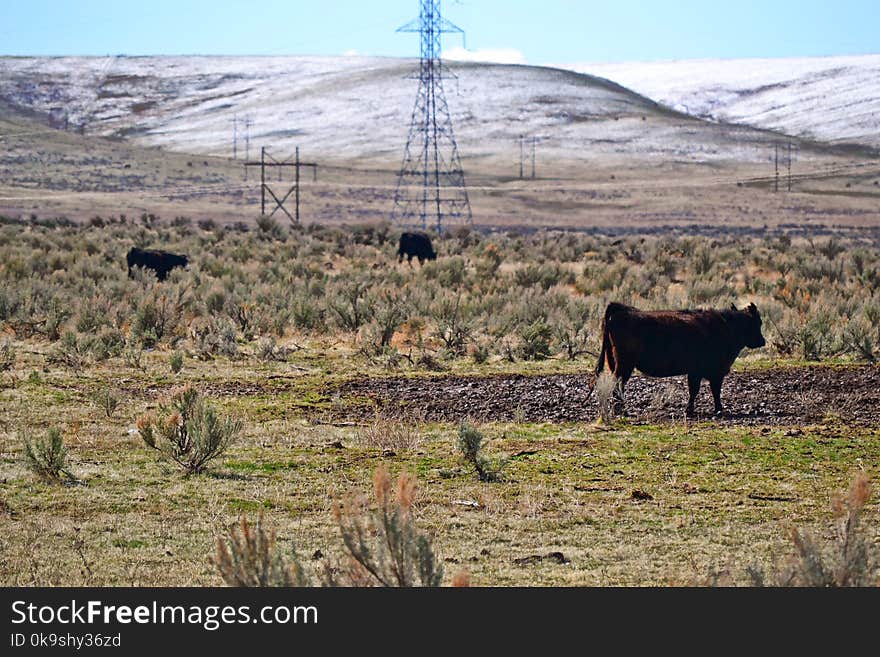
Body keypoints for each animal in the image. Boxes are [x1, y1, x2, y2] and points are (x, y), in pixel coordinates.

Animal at [600, 302, 764, 416]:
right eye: (757, 322)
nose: (762, 341)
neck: (726, 326)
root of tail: (620, 310)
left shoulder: (695, 372)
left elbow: (694, 390)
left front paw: (690, 410)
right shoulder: (715, 372)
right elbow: (713, 390)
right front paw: (718, 409)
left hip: (616, 364)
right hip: (624, 365)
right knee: (617, 386)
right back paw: (623, 411)